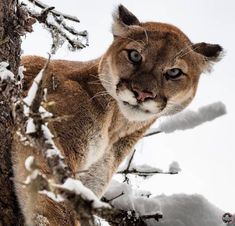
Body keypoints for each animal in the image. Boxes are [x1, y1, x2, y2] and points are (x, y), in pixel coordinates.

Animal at [12, 3, 222, 226]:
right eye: (135, 56)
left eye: (174, 72)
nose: (142, 93)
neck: (116, 126)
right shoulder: (49, 134)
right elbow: (58, 200)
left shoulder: (92, 179)